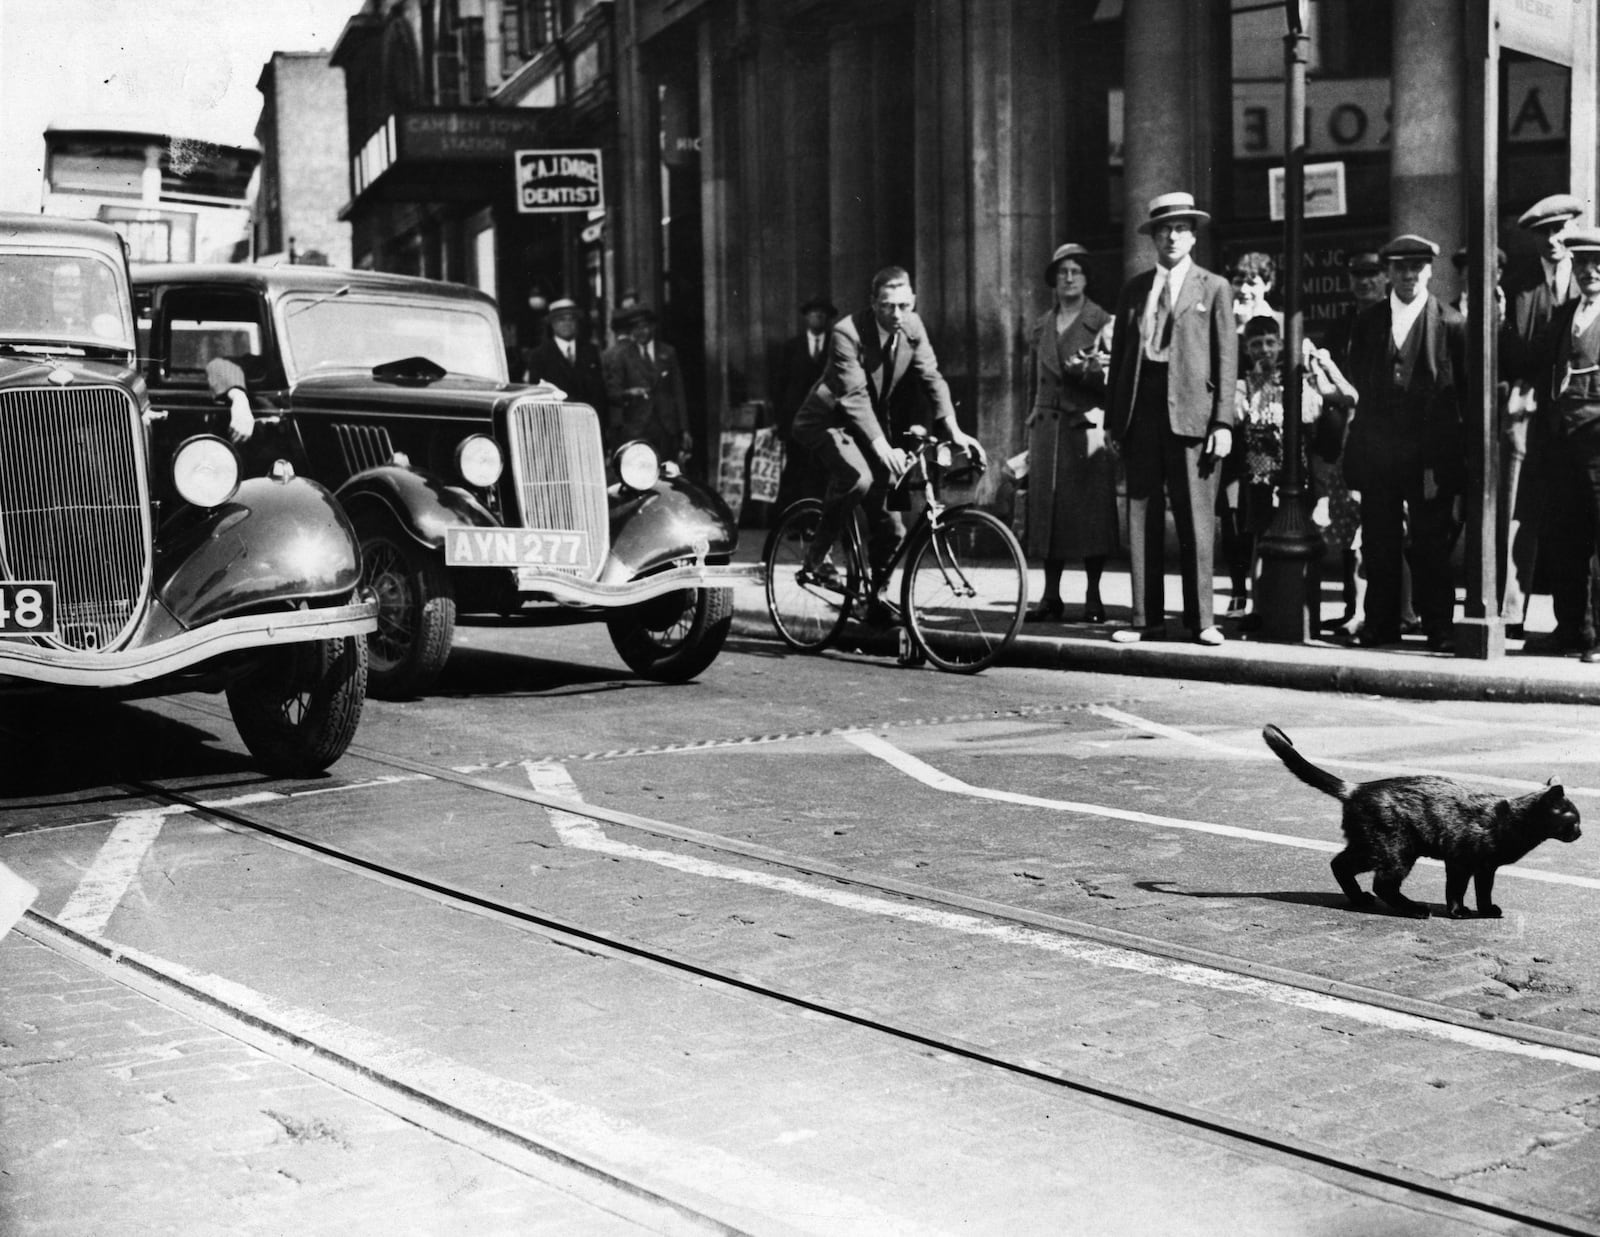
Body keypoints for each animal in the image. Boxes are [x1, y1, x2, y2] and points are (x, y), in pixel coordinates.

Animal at [1260, 723, 1587, 915]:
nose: (1581, 833)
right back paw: (1413, 908)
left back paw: (1360, 899)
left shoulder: (1484, 867)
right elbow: (1457, 890)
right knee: (1383, 884)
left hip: (1370, 847)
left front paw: (1483, 909)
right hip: (1396, 852)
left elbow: (1480, 891)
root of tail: (1356, 787)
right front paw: (1459, 912)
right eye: (1574, 819)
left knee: (1339, 864)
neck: (1512, 820)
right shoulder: (1462, 861)